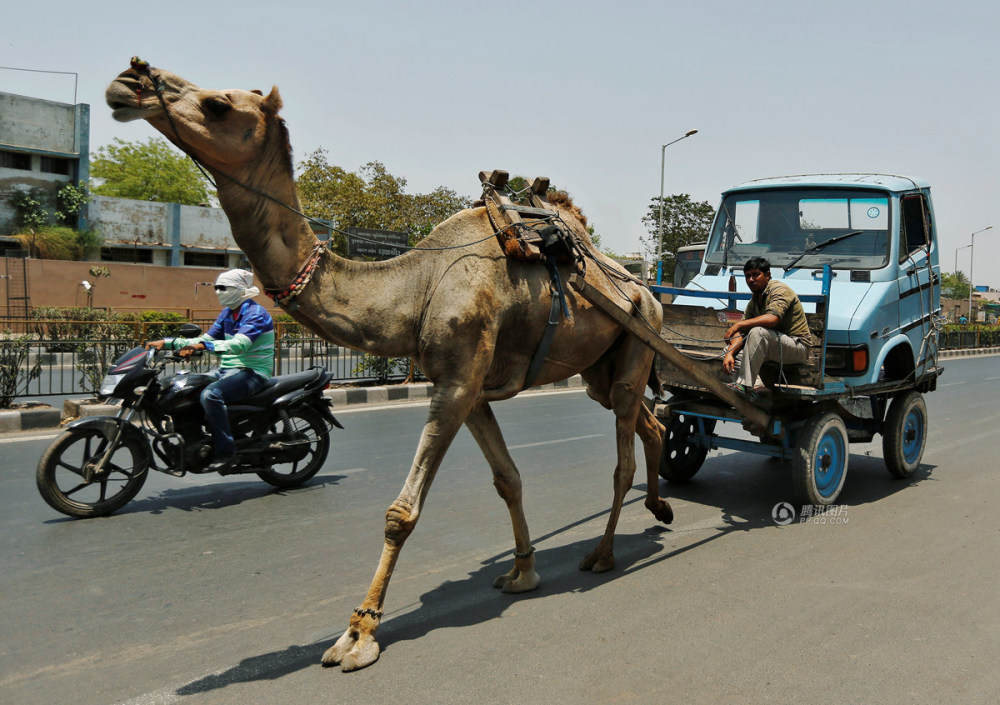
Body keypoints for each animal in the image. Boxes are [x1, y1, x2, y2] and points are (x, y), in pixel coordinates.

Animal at [105, 60, 672, 672]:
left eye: (218, 105)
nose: (129, 81)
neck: (415, 289)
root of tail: (647, 289)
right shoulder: (468, 387)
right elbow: (508, 479)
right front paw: (522, 572)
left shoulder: (456, 382)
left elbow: (402, 512)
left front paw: (359, 633)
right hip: (599, 368)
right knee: (650, 421)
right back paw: (660, 507)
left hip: (640, 338)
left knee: (623, 455)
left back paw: (604, 551)